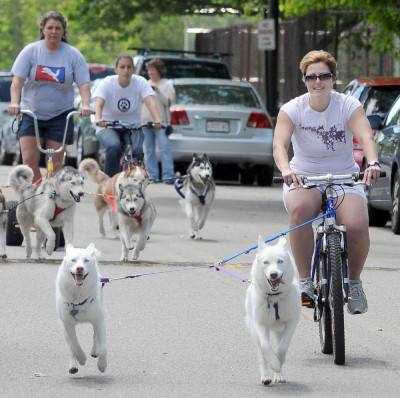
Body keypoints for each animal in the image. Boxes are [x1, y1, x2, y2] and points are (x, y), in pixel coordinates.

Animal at [55, 241, 108, 374]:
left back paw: (95, 351)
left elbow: (103, 347)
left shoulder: (99, 320)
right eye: (73, 260)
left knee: (95, 335)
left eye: (86, 260)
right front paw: (81, 358)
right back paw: (73, 365)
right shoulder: (67, 324)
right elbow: (75, 345)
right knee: (70, 346)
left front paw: (102, 365)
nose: (80, 268)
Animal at [244, 236, 300, 386]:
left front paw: (278, 364)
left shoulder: (291, 322)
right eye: (266, 262)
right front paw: (273, 364)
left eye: (280, 261)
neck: (275, 298)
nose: (273, 274)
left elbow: (282, 347)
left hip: (279, 330)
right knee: (261, 353)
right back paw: (266, 377)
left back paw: (278, 375)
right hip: (255, 329)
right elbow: (265, 347)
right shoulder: (260, 324)